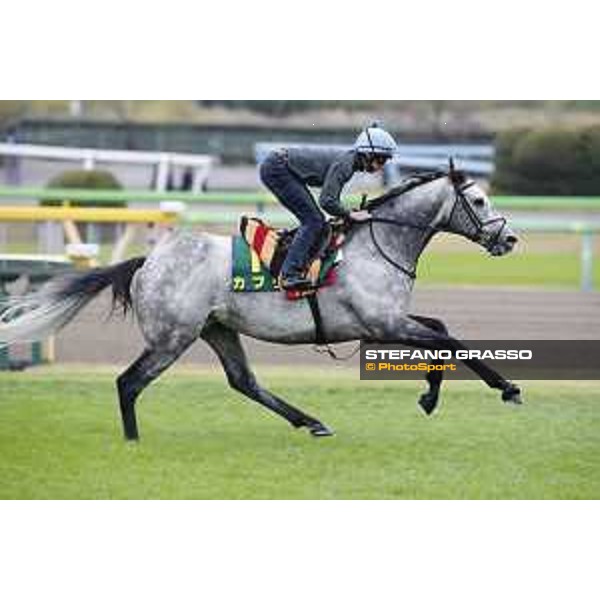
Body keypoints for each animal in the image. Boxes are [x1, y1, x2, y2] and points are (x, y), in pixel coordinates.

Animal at [0, 166, 520, 438]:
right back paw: (132, 441)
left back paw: (311, 421)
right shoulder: (383, 323)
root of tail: (149, 261)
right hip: (173, 337)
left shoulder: (388, 319)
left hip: (217, 329)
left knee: (243, 381)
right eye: (478, 200)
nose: (510, 239)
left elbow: (441, 329)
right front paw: (506, 388)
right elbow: (450, 341)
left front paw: (430, 396)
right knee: (129, 383)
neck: (378, 243)